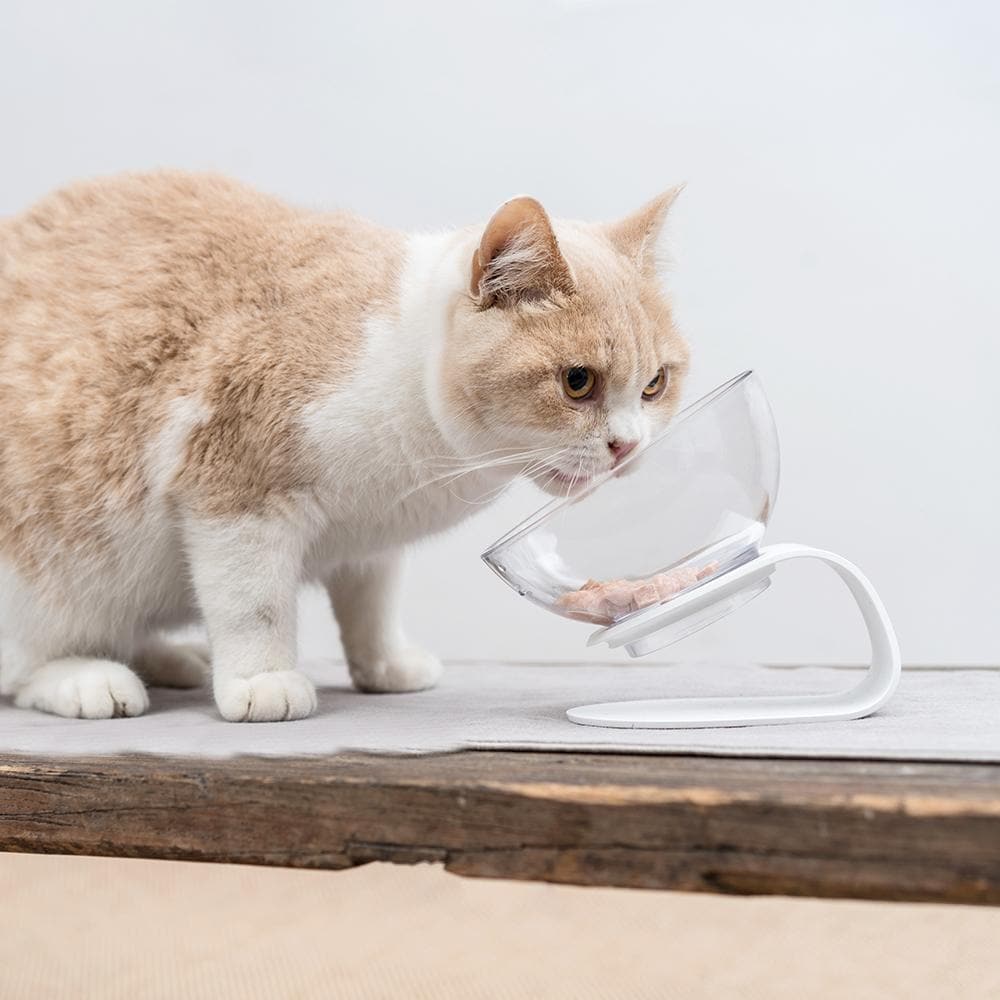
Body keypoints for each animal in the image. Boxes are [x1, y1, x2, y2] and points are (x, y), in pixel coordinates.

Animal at [0, 170, 688, 720]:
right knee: (29, 664)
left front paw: (384, 665)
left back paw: (171, 658)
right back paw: (88, 677)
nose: (627, 446)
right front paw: (263, 679)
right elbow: (254, 604)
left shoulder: (372, 537)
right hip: (49, 575)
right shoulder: (235, 497)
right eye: (578, 382)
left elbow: (371, 606)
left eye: (654, 383)